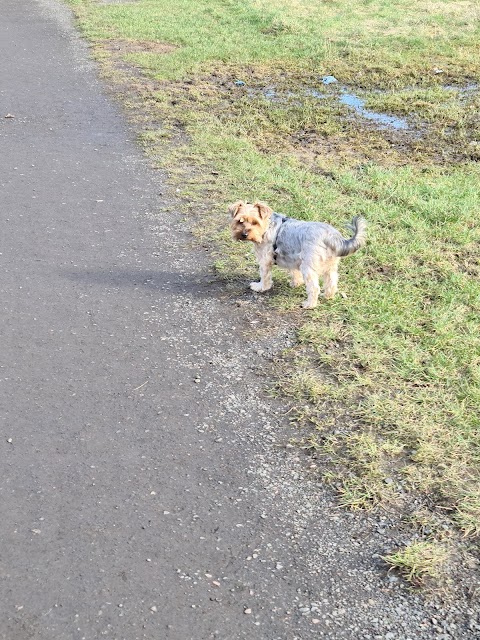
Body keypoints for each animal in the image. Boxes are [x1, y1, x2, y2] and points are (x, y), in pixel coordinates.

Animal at [229, 201, 368, 308]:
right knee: (332, 282)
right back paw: (328, 296)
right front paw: (296, 283)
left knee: (314, 288)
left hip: (308, 267)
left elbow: (265, 276)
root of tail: (331, 237)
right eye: (240, 221)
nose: (244, 234)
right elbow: (294, 272)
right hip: (331, 265)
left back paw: (309, 304)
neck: (267, 226)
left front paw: (260, 287)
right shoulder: (291, 257)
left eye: (255, 222)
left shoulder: (265, 259)